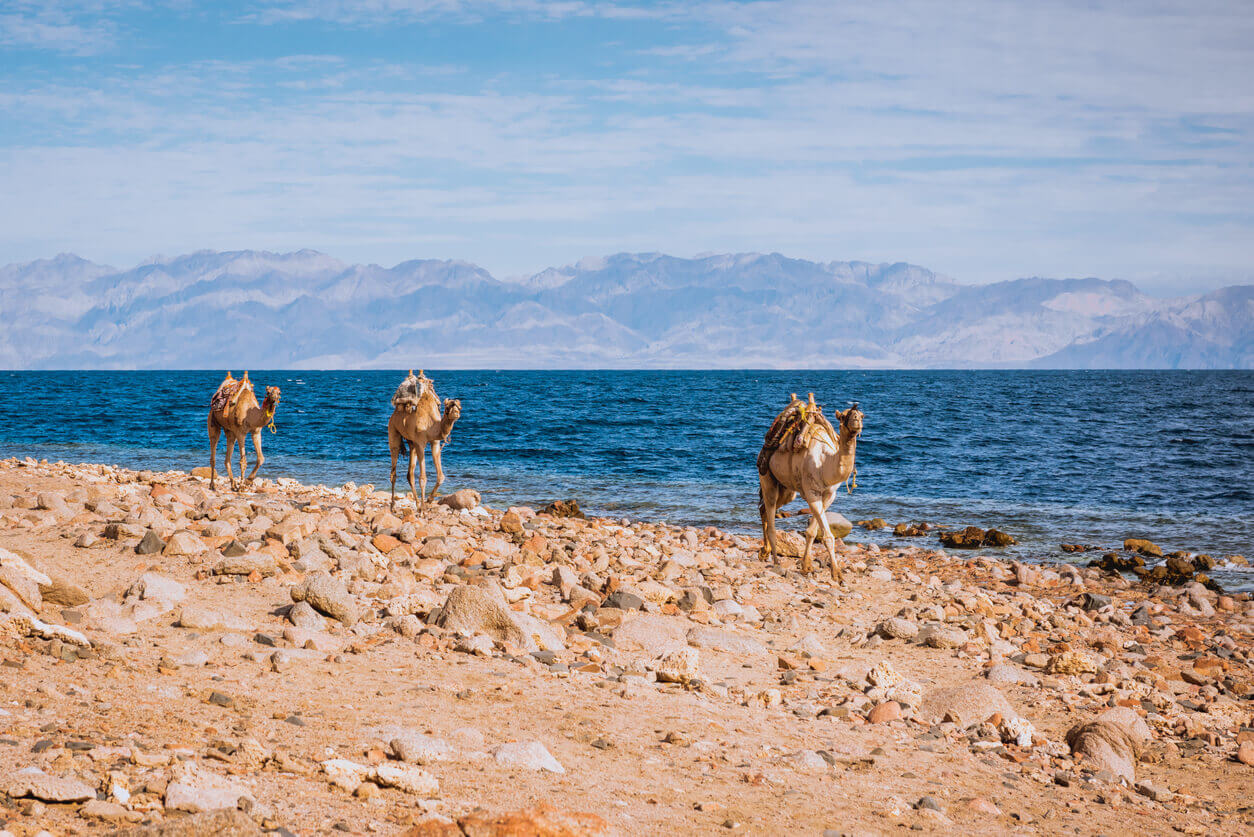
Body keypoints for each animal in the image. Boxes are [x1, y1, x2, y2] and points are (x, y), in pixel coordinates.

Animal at [388, 371, 463, 511]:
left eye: (459, 406)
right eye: (447, 407)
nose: (455, 413)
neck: (431, 424)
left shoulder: (435, 442)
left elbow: (440, 476)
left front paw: (428, 501)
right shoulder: (420, 443)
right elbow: (423, 478)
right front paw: (423, 509)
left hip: (411, 442)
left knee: (410, 474)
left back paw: (417, 504)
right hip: (393, 430)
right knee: (394, 470)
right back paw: (393, 506)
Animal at [752, 396, 862, 579]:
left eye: (862, 415)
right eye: (843, 416)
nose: (856, 421)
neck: (825, 463)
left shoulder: (829, 495)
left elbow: (811, 532)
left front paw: (806, 566)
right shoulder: (812, 493)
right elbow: (828, 536)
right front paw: (837, 575)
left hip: (787, 490)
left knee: (763, 508)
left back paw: (764, 552)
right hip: (766, 476)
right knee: (771, 515)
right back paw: (776, 562)